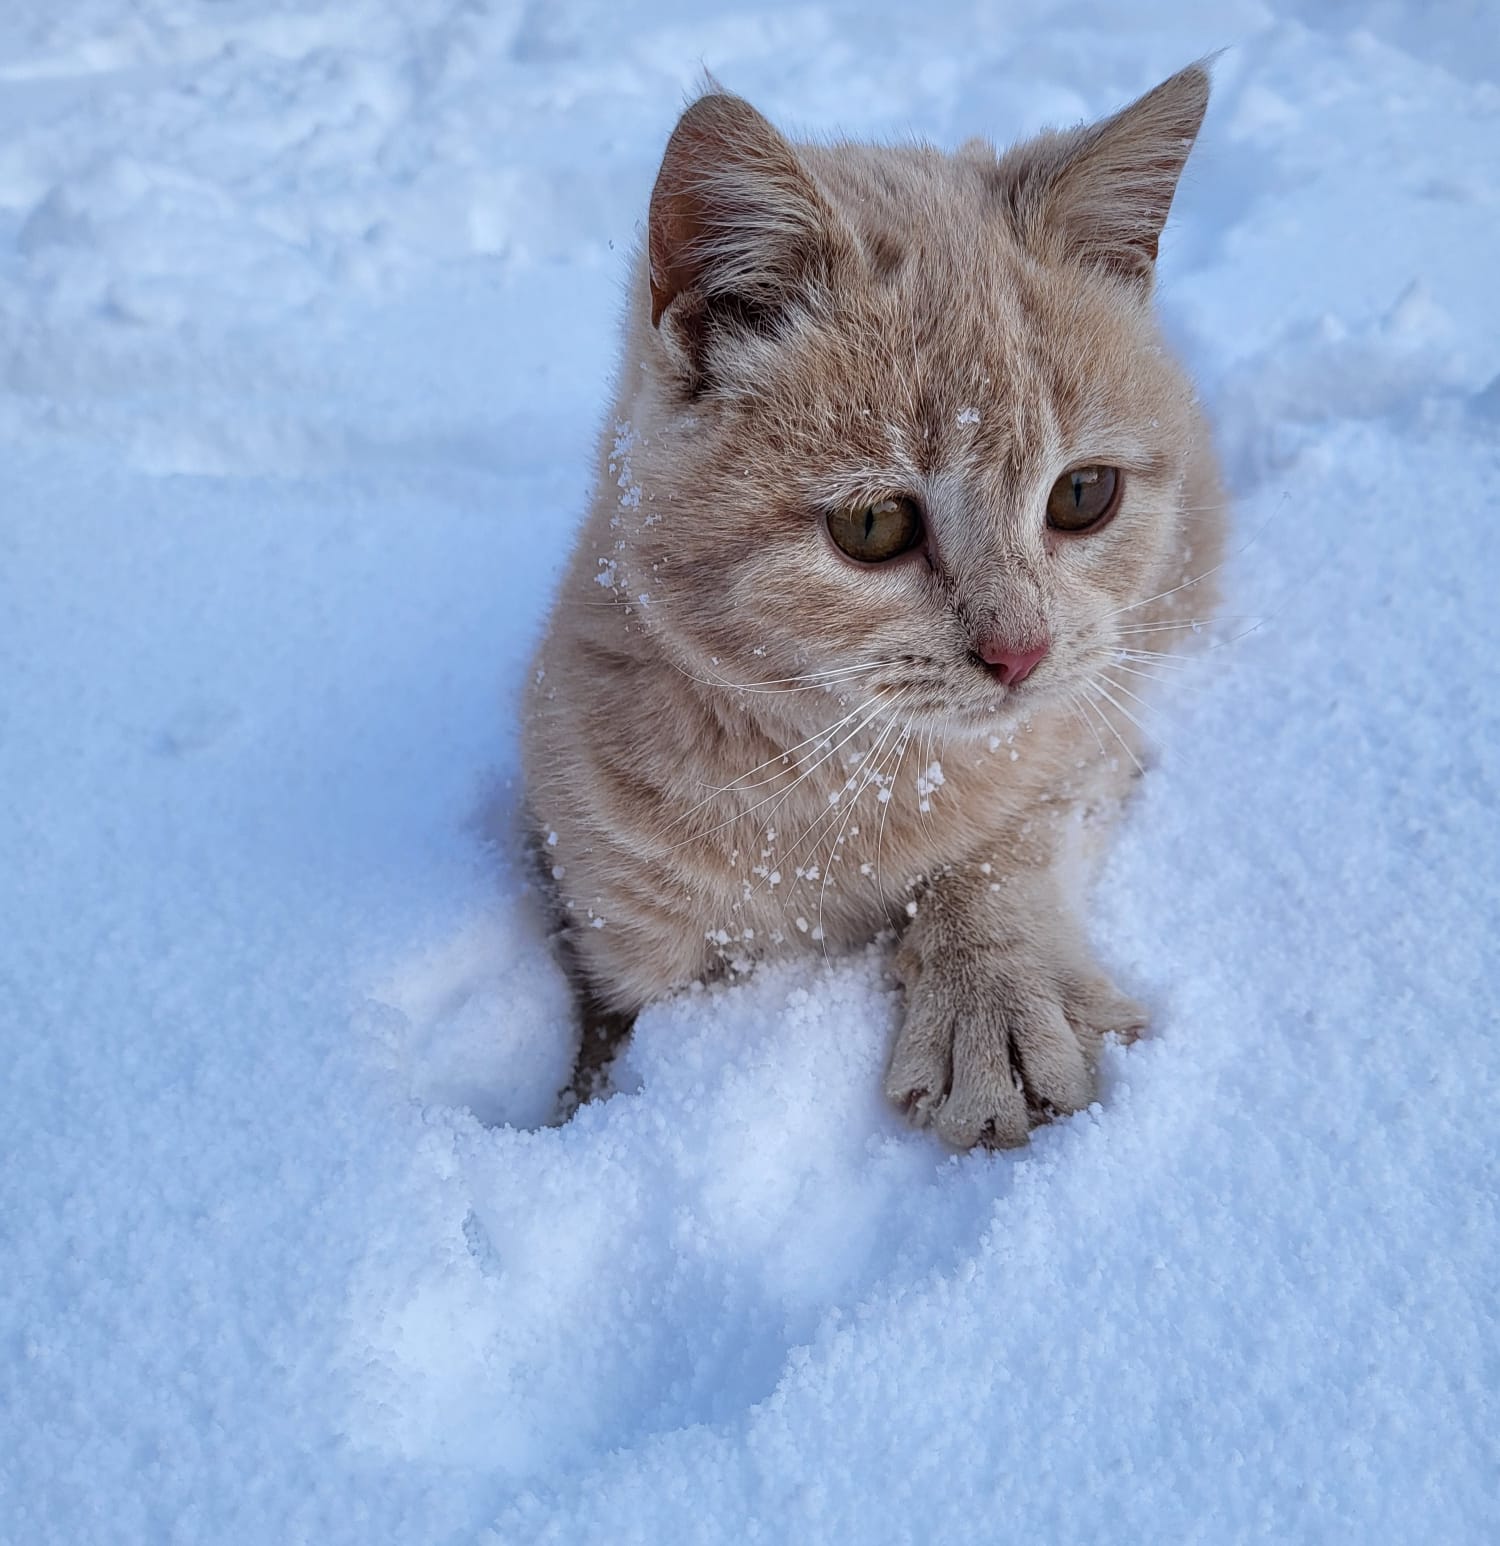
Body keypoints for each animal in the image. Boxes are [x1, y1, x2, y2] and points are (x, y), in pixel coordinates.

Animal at [519, 60, 1224, 1150]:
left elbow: (1006, 847)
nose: (1020, 652)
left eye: (1082, 494)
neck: (847, 781)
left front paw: (993, 990)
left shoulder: (1094, 734)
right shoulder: (613, 921)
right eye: (874, 525)